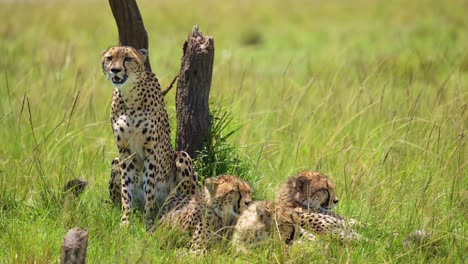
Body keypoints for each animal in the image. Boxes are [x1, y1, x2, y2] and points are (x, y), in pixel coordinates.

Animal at [101, 46, 195, 227]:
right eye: (109, 58)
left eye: (128, 58)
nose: (115, 69)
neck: (130, 95)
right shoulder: (124, 151)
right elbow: (126, 190)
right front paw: (125, 222)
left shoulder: (151, 150)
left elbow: (149, 187)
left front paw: (147, 222)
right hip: (115, 162)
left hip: (182, 158)